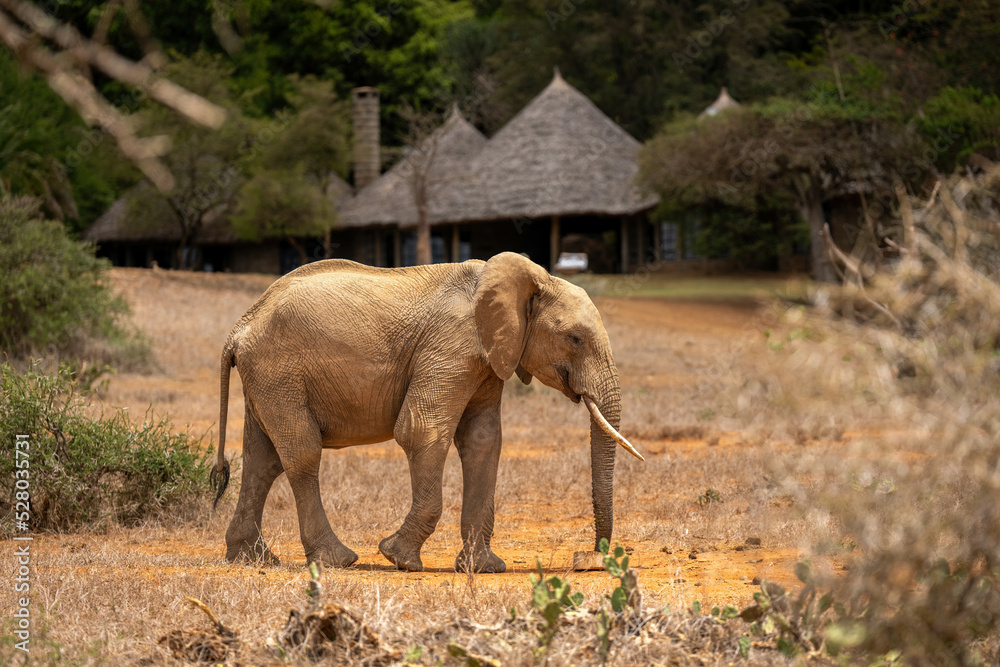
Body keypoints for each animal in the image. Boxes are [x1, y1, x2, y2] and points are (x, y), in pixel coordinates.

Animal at [211, 251, 643, 573]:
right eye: (575, 338)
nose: (589, 557)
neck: (530, 278)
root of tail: (240, 327)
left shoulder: (487, 361)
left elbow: (484, 441)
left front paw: (482, 568)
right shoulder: (451, 347)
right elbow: (421, 431)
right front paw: (397, 558)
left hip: (267, 379)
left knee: (263, 460)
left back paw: (252, 559)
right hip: (279, 372)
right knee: (301, 455)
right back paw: (339, 560)